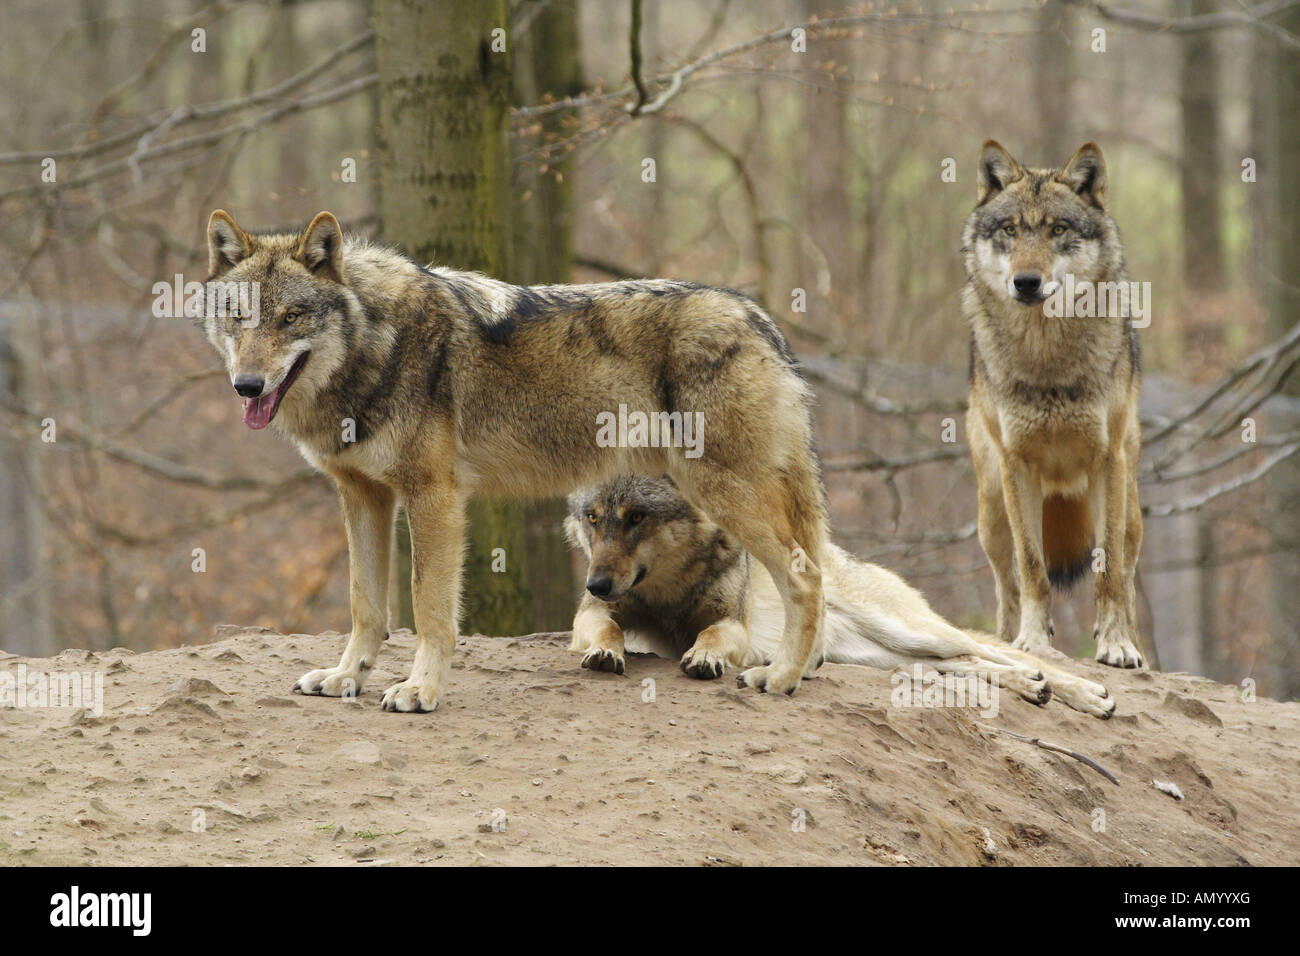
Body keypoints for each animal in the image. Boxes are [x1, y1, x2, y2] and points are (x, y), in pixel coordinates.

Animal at [200, 209, 828, 711]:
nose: (246, 385)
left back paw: (781, 678)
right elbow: (366, 604)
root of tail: (760, 318)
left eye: (291, 317)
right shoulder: (363, 496)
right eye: (239, 316)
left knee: (806, 576)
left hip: (722, 491)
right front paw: (345, 677)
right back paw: (804, 668)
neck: (378, 346)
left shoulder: (434, 496)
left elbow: (428, 606)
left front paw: (420, 690)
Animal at [564, 475, 1115, 717]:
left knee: (996, 651)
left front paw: (702, 657)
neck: (665, 589)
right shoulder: (591, 614)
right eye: (593, 518)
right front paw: (605, 653)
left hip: (913, 633)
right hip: (889, 656)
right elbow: (606, 627)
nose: (595, 583)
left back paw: (1084, 692)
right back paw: (1034, 687)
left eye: (636, 518)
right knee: (971, 665)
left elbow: (712, 637)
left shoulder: (732, 624)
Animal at [962, 141, 1145, 669]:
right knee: (1006, 586)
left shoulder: (1107, 463)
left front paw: (1115, 645)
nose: (1026, 281)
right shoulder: (1017, 464)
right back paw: (1008, 640)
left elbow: (1107, 573)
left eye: (1057, 230)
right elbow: (1033, 568)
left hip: (1131, 510)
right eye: (1010, 230)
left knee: (1126, 577)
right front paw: (1033, 641)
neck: (1047, 358)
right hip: (991, 512)